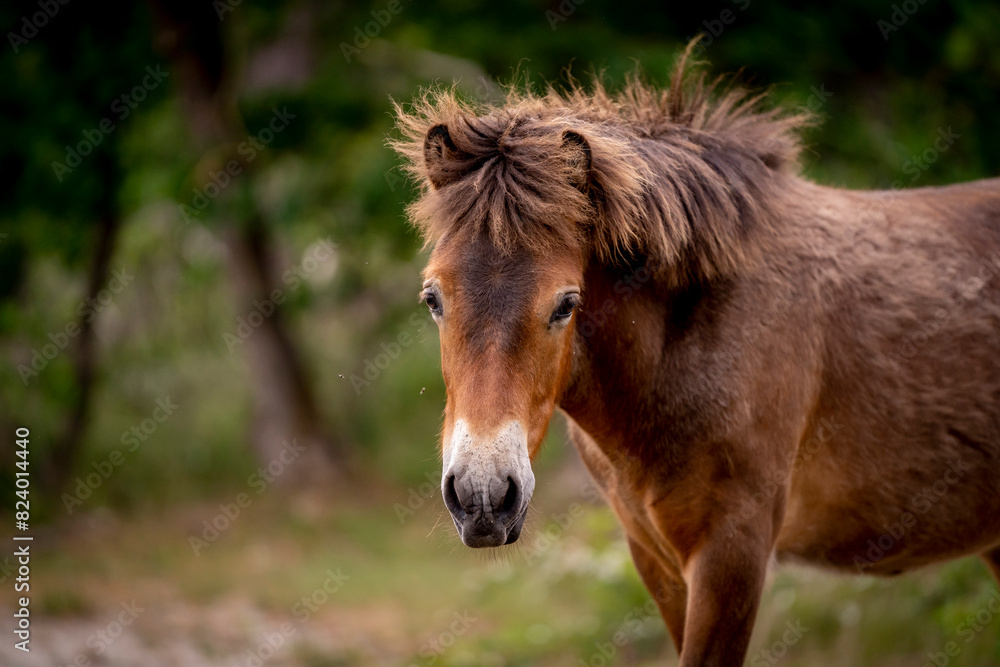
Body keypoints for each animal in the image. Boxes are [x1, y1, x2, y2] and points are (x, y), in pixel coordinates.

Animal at [391, 45, 1000, 666]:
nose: (482, 496)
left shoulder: (732, 553)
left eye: (565, 304)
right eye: (433, 298)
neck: (688, 340)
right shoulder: (659, 562)